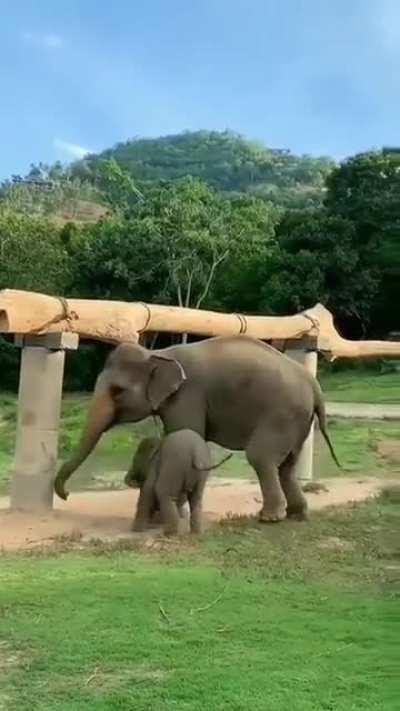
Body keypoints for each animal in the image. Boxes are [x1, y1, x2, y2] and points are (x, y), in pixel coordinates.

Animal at [54, 334, 339, 523]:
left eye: (117, 391)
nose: (66, 495)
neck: (158, 354)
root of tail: (315, 387)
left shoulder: (187, 397)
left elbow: (184, 434)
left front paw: (168, 515)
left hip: (281, 415)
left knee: (261, 457)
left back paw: (269, 518)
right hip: (297, 422)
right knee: (287, 466)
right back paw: (296, 514)